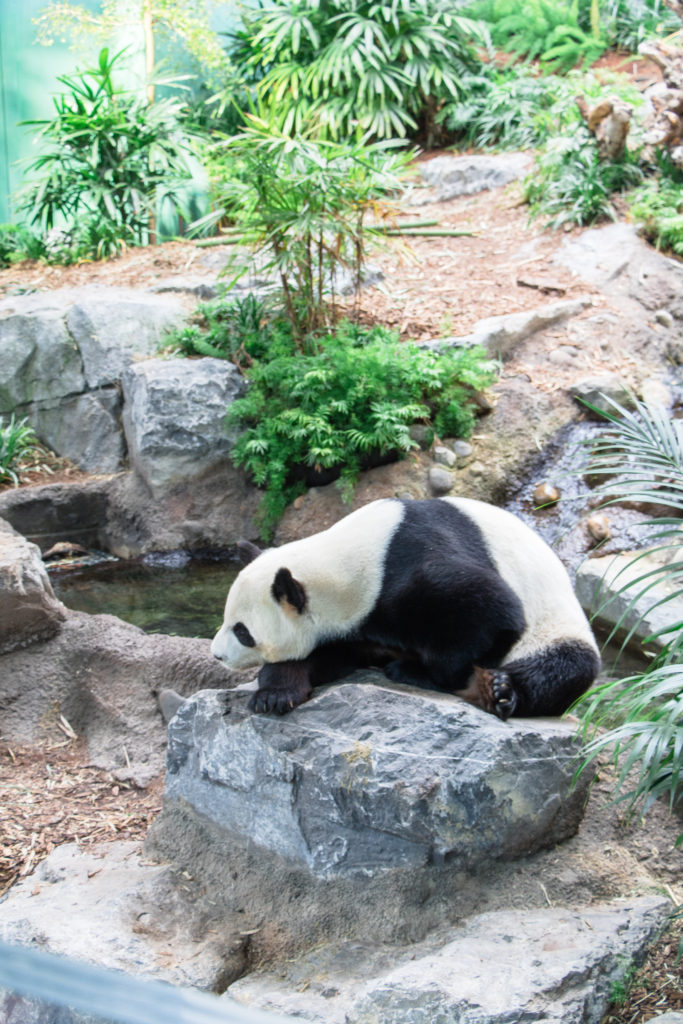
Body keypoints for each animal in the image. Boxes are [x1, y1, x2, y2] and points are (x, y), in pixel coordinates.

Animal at [209, 495, 598, 720]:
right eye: (227, 620)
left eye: (242, 632)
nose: (216, 655)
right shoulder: (349, 627)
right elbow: (318, 656)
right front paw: (275, 695)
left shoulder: (409, 567)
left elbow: (494, 610)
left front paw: (416, 671)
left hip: (556, 625)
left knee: (565, 668)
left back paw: (501, 691)